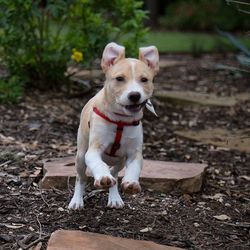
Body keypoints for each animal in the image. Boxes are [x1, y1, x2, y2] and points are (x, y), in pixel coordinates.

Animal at [68, 41, 158, 209]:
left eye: (144, 79)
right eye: (119, 78)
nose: (134, 95)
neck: (120, 120)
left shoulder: (134, 153)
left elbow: (134, 167)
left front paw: (131, 182)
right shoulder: (93, 150)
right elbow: (98, 164)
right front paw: (103, 176)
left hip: (120, 160)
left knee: (115, 174)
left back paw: (115, 197)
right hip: (81, 156)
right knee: (81, 178)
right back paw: (77, 200)